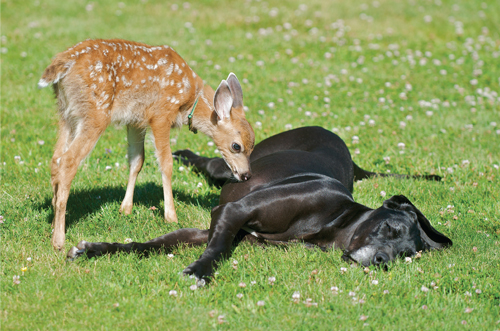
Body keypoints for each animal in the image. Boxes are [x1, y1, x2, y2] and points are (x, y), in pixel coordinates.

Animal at [67, 127, 454, 286]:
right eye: (390, 228)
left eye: (408, 255)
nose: (382, 261)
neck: (333, 219)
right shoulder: (230, 213)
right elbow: (216, 250)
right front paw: (201, 271)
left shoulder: (212, 228)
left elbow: (151, 245)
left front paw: (96, 249)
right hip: (231, 167)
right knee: (209, 163)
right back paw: (183, 154)